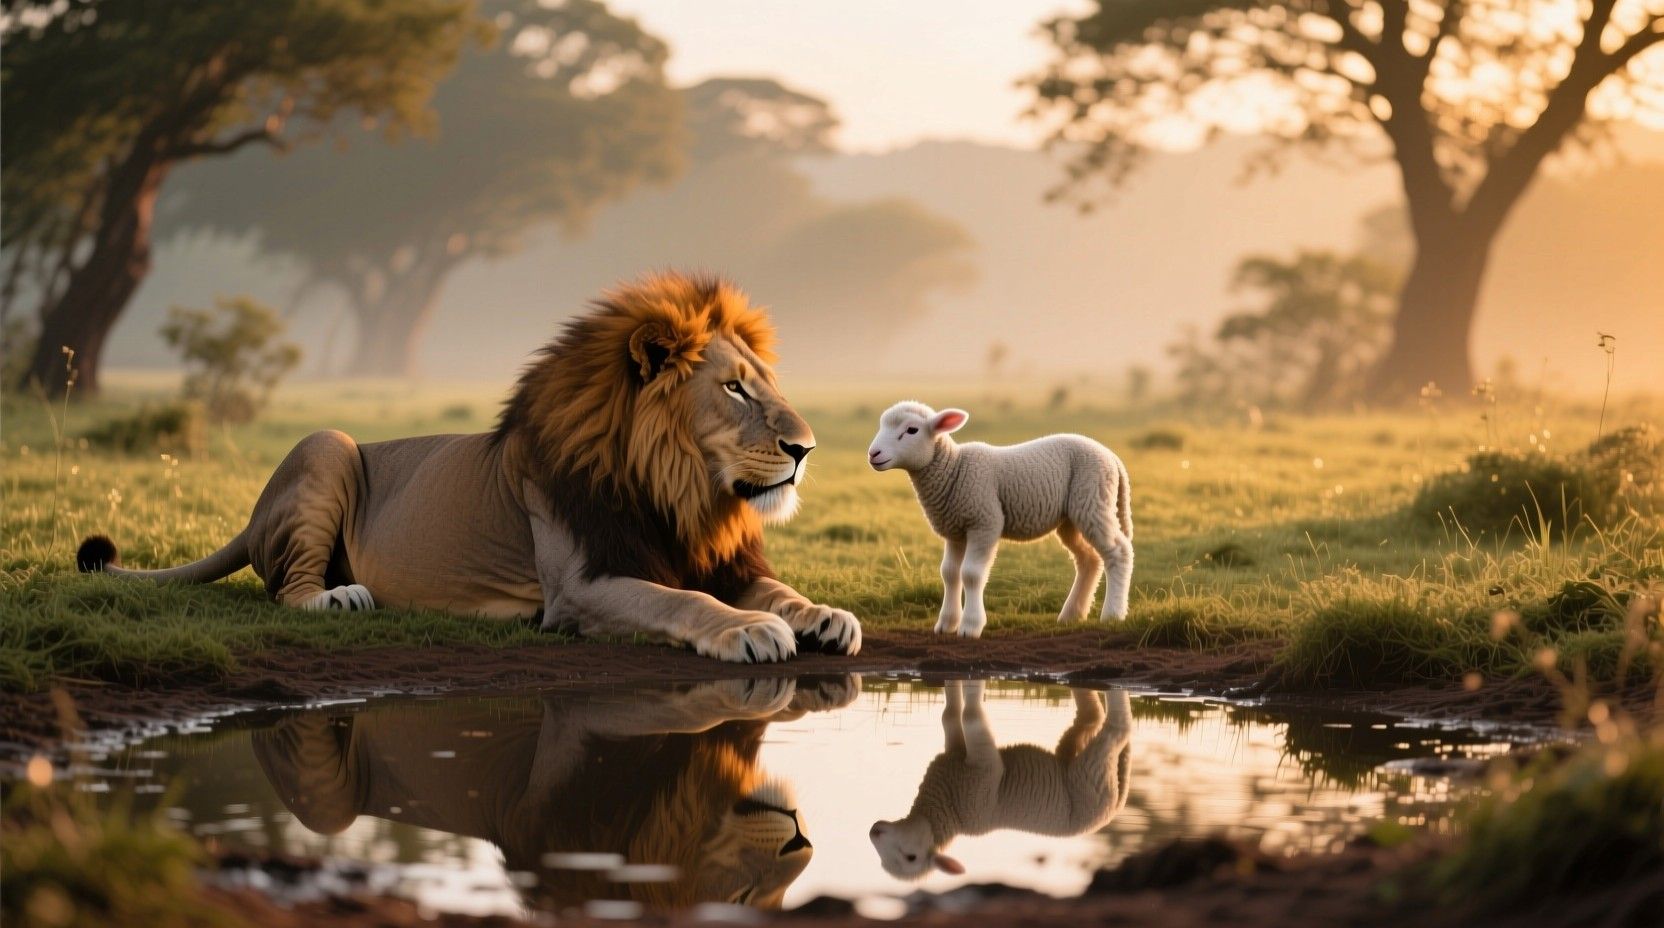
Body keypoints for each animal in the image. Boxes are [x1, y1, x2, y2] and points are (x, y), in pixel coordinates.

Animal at [76, 273, 861, 662]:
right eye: (733, 389)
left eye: (764, 382)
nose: (805, 450)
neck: (678, 491)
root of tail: (252, 514)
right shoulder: (579, 587)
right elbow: (682, 601)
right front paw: (748, 629)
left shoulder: (715, 554)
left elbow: (776, 587)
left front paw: (822, 616)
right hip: (327, 443)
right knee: (287, 590)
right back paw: (340, 597)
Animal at [867, 401, 1133, 638]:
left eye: (912, 430)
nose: (873, 454)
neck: (954, 469)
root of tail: (1112, 456)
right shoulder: (955, 530)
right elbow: (949, 573)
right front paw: (946, 624)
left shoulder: (985, 522)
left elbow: (971, 574)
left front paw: (970, 627)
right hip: (1071, 518)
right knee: (1089, 559)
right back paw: (1071, 615)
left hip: (1093, 499)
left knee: (1118, 552)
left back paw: (1112, 614)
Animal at [868, 680, 1133, 878]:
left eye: (910, 857)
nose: (873, 831)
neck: (949, 808)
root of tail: (1114, 809)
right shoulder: (955, 757)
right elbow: (949, 715)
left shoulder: (983, 772)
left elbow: (970, 716)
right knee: (1092, 717)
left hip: (1091, 775)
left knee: (1118, 729)